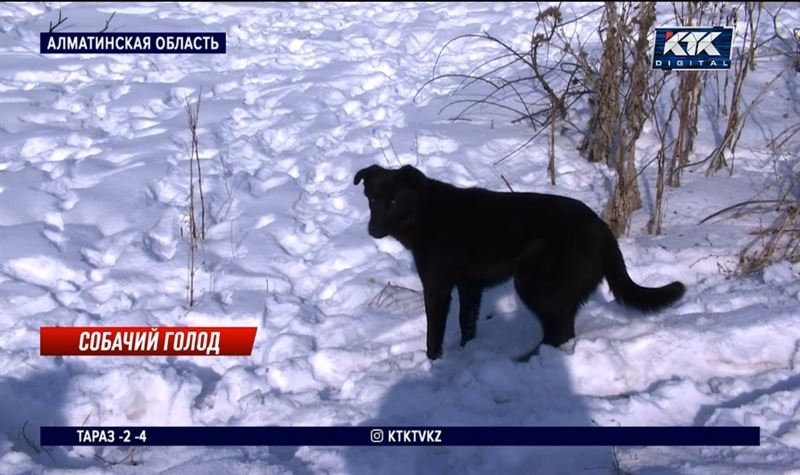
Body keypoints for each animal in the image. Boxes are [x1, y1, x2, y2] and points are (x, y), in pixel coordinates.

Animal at [356, 165, 688, 360]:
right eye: (371, 199)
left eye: (394, 201)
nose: (372, 230)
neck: (425, 212)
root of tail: (605, 232)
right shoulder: (469, 286)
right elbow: (467, 325)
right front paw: (467, 354)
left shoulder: (437, 288)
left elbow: (433, 335)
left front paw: (433, 363)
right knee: (562, 332)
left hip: (536, 285)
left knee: (560, 333)